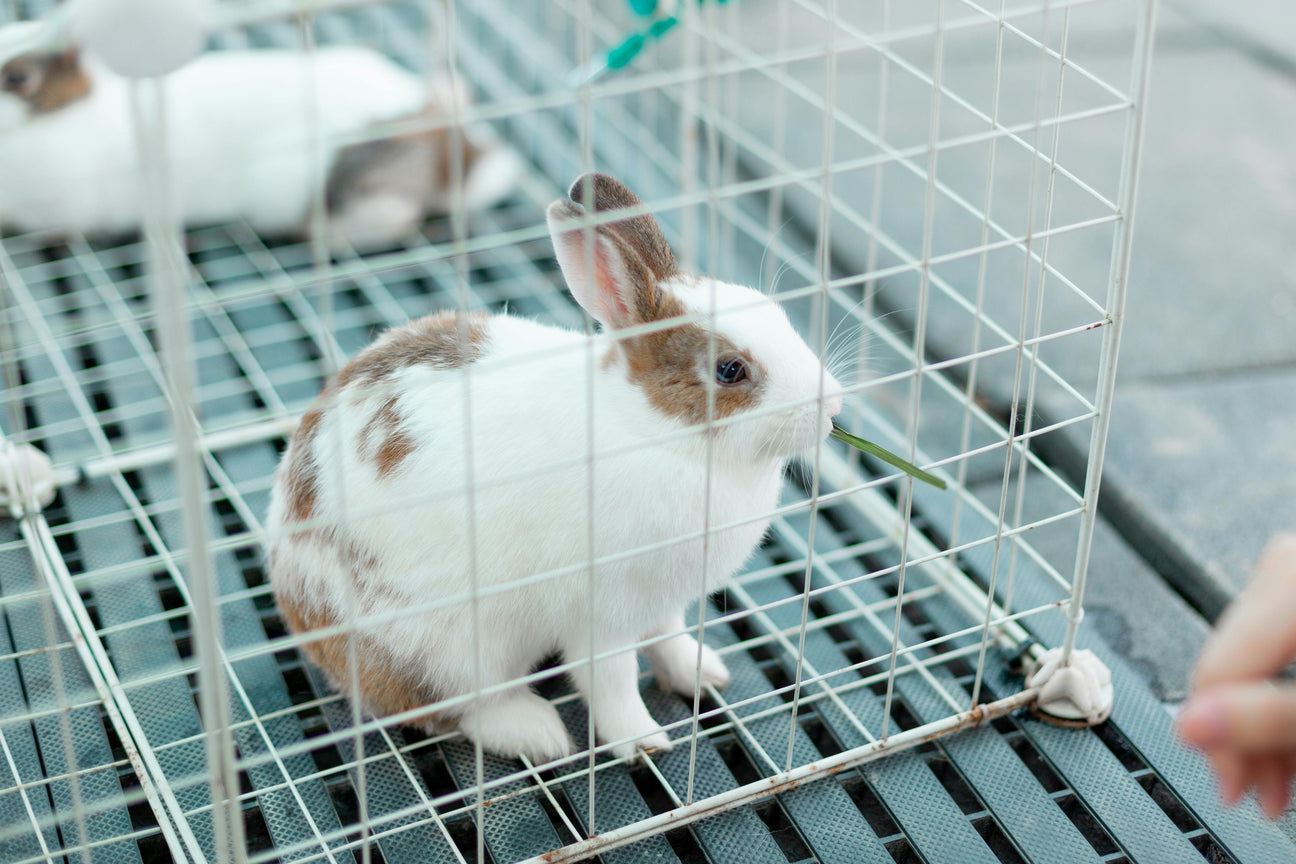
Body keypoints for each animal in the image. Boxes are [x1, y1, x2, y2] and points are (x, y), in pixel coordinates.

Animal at [268, 172, 844, 761]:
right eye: (730, 370)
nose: (833, 405)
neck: (658, 431)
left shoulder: (661, 602)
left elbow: (669, 640)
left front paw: (703, 674)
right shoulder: (602, 615)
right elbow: (611, 681)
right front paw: (643, 743)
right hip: (450, 650)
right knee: (455, 710)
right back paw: (540, 733)